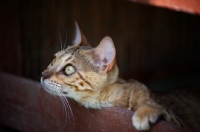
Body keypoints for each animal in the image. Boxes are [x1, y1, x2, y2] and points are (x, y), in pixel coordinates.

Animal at [40, 21, 200, 131]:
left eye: (69, 69)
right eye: (53, 60)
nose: (42, 75)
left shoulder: (180, 121)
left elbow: (160, 108)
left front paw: (145, 112)